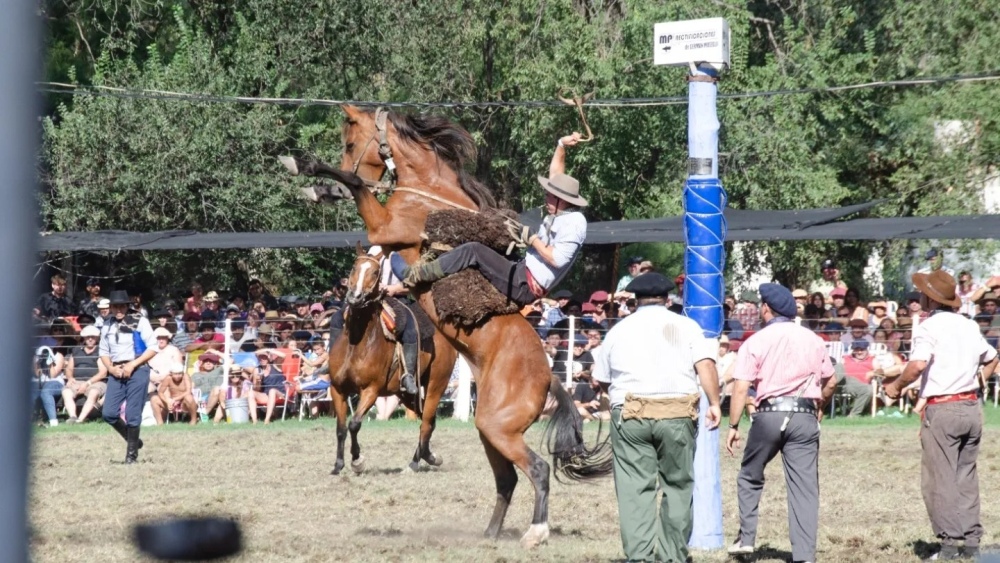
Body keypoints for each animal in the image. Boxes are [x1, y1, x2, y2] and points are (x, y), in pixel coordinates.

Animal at [282, 104, 608, 548]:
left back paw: (535, 532)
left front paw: (307, 167)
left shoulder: (383, 226)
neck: (428, 192)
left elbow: (357, 186)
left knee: (536, 469)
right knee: (506, 480)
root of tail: (550, 377)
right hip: (490, 429)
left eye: (350, 143)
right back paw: (489, 533)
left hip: (498, 428)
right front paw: (318, 188)